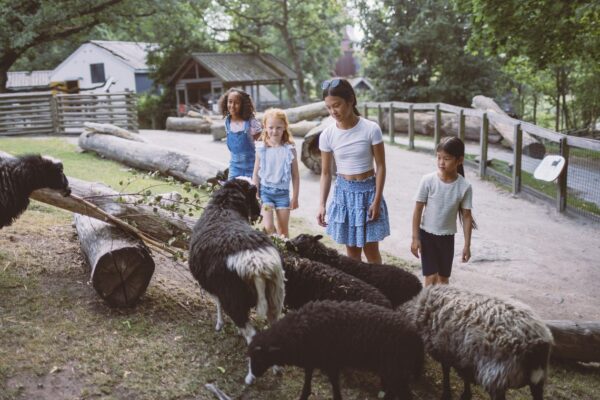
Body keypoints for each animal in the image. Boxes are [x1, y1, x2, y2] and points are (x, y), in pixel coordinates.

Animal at [191, 179, 288, 384]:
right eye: (254, 194)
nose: (259, 213)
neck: (224, 208)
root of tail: (257, 265)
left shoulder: (216, 288)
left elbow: (218, 305)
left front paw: (219, 325)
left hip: (234, 299)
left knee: (252, 335)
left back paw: (250, 376)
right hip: (275, 296)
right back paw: (276, 368)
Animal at [247, 300, 422, 400]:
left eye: (260, 357)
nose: (254, 374)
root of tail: (414, 333)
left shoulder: (331, 363)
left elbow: (334, 385)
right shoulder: (312, 359)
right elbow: (308, 380)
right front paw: (304, 395)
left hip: (395, 370)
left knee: (405, 395)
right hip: (393, 371)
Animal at [398, 284, 552, 400]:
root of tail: (537, 341)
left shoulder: (444, 348)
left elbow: (446, 372)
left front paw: (447, 394)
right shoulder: (464, 355)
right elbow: (465, 377)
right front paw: (465, 395)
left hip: (496, 376)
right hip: (536, 381)